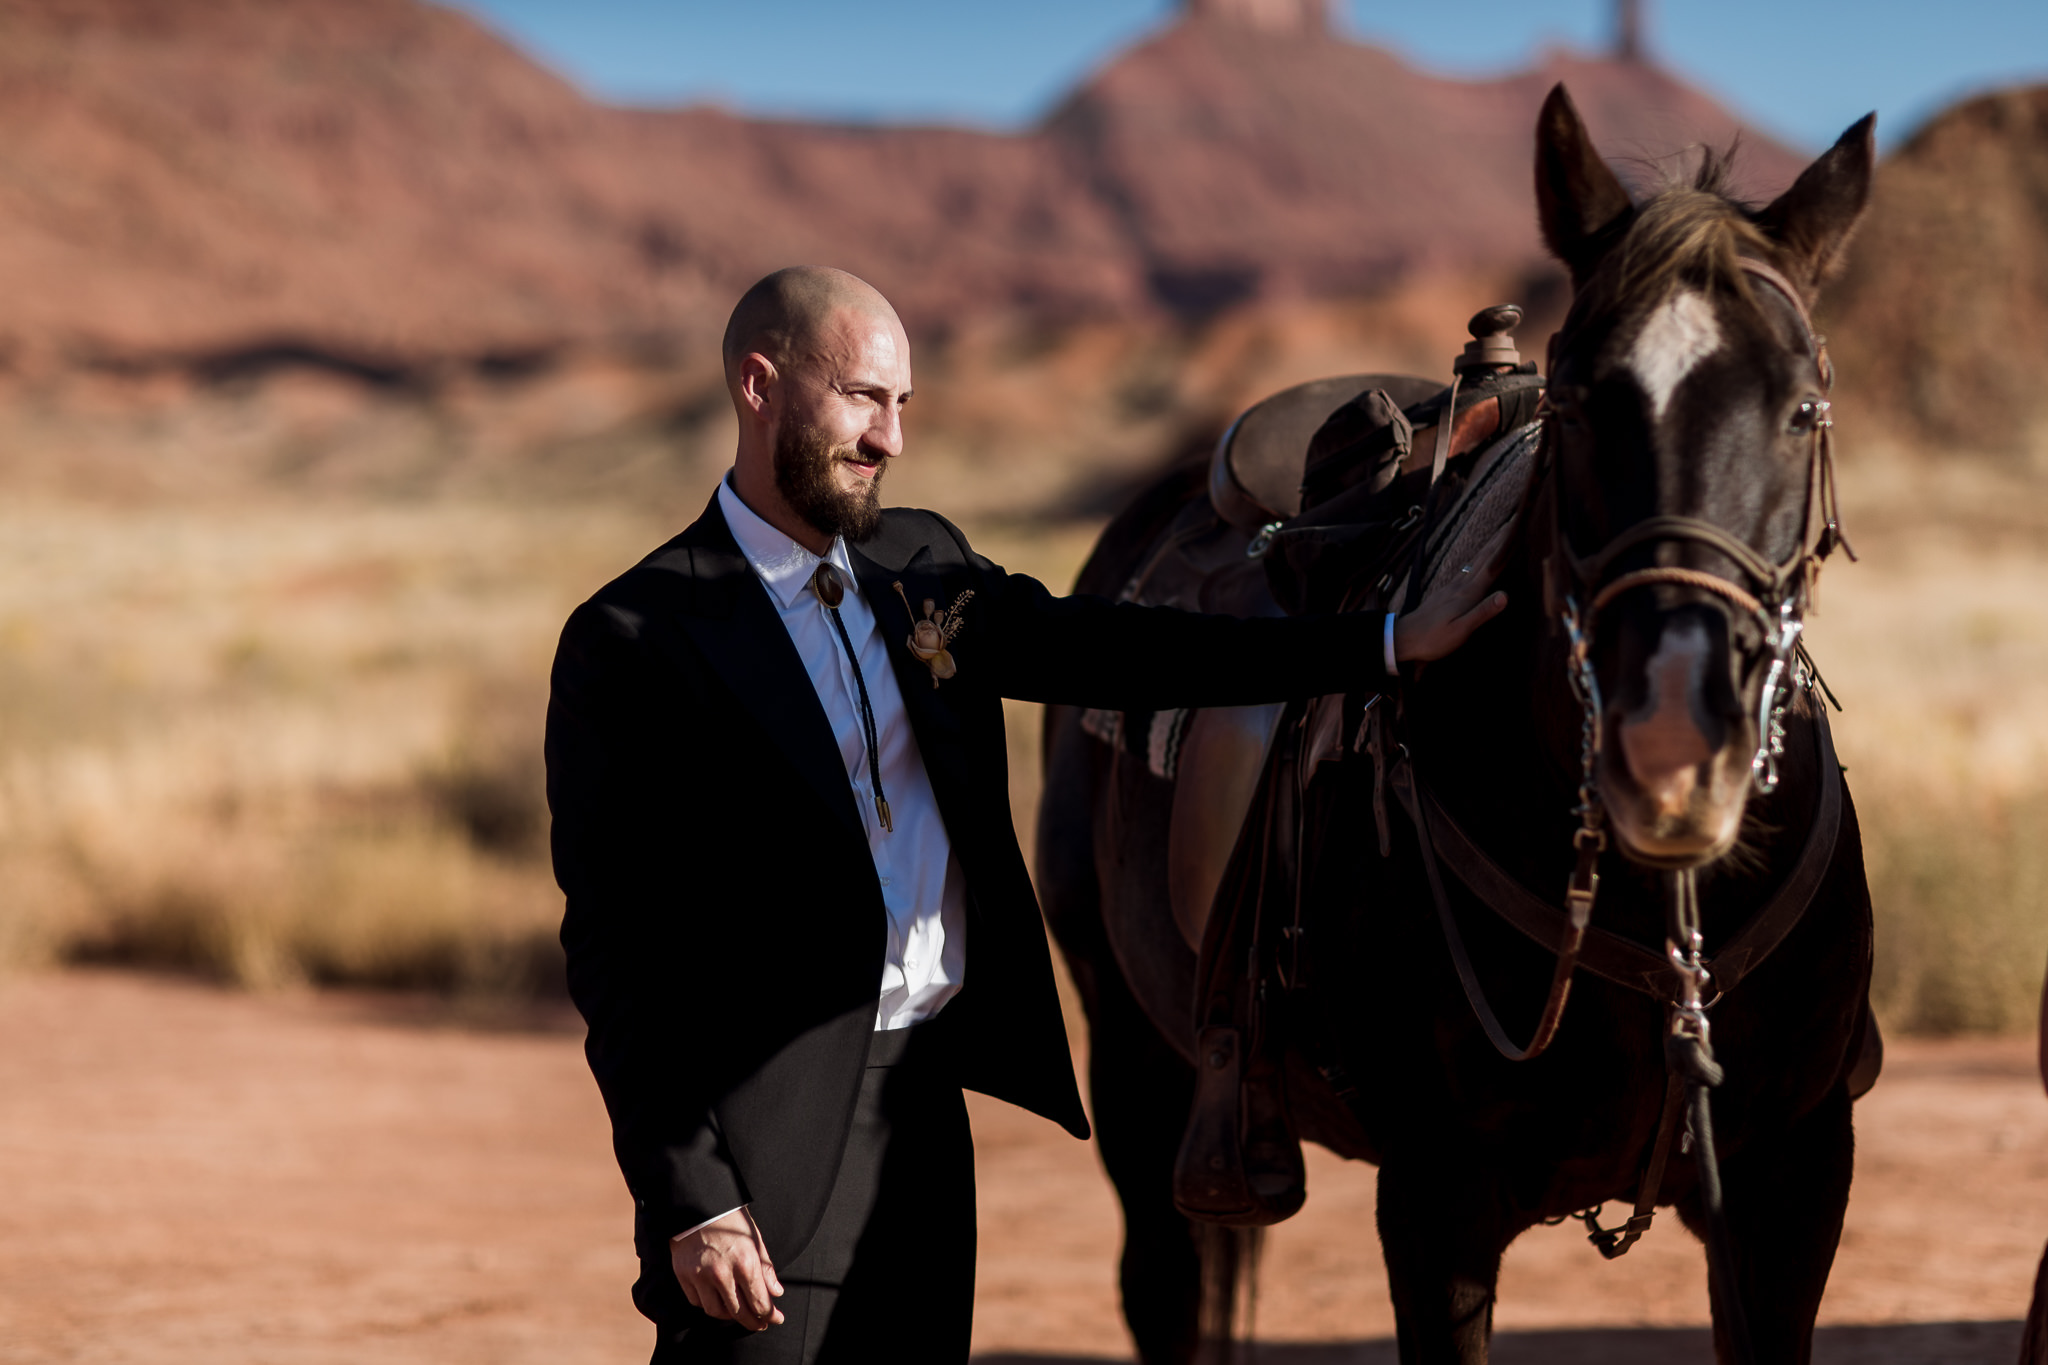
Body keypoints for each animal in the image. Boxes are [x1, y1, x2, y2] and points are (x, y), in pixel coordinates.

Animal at [1048, 87, 1875, 1365]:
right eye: (1578, 403)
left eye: (1799, 407)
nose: (1671, 746)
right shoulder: (1435, 1203)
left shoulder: (1789, 1182)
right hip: (1134, 1049)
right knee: (1163, 1287)